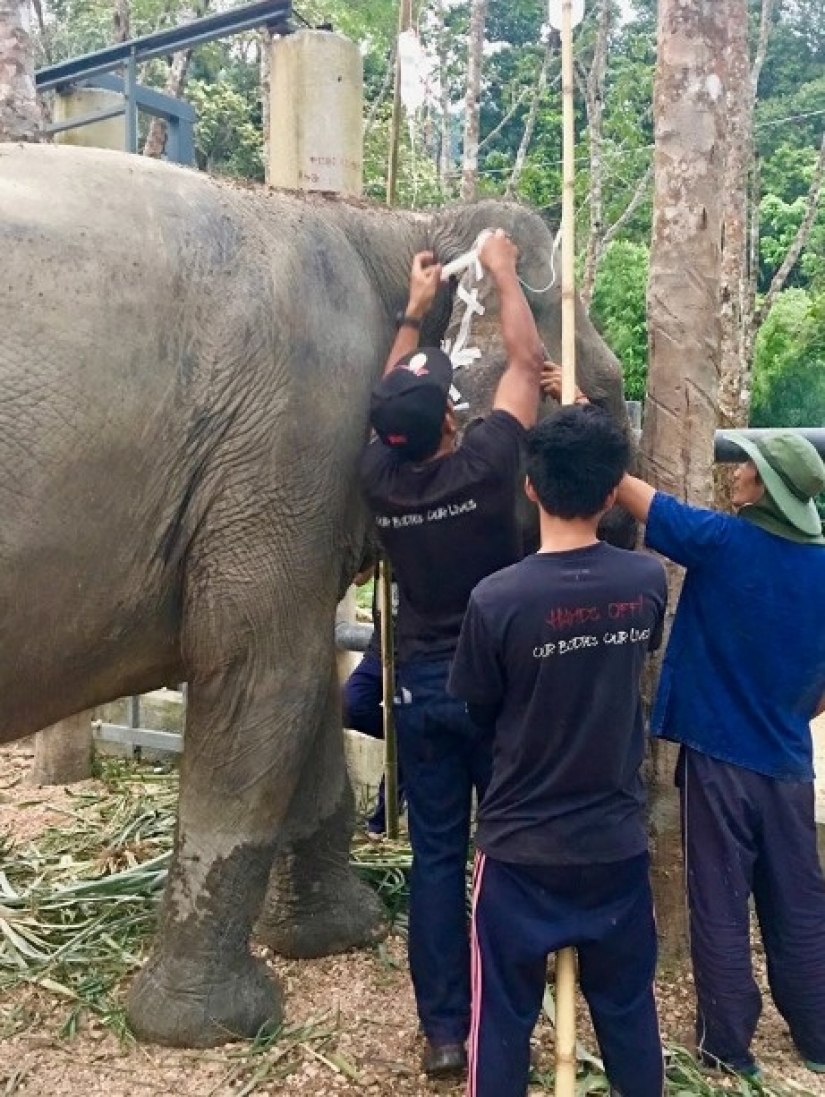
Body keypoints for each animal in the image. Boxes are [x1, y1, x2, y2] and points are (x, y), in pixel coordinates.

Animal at [0, 142, 628, 1047]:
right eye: (604, 391)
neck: (389, 226)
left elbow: (300, 694)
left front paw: (338, 933)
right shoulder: (289, 438)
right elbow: (269, 676)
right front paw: (213, 1025)